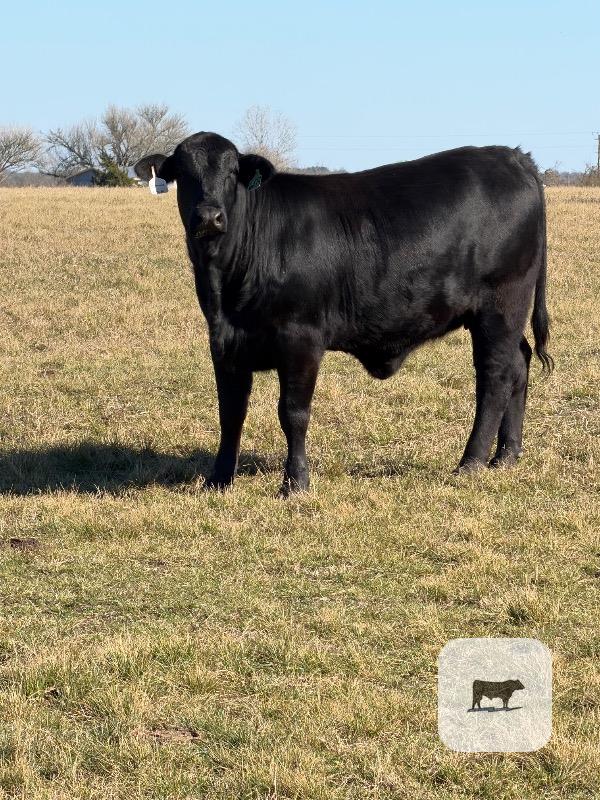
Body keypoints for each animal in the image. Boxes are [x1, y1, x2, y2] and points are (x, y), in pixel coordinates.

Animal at [134, 132, 553, 496]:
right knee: (519, 363)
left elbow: (293, 413)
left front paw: (295, 483)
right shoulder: (224, 343)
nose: (209, 217)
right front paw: (218, 481)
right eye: (184, 173)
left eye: (231, 171)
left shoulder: (301, 339)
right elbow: (230, 413)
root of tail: (513, 157)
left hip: (501, 305)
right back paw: (506, 456)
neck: (227, 284)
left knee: (495, 377)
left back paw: (472, 462)